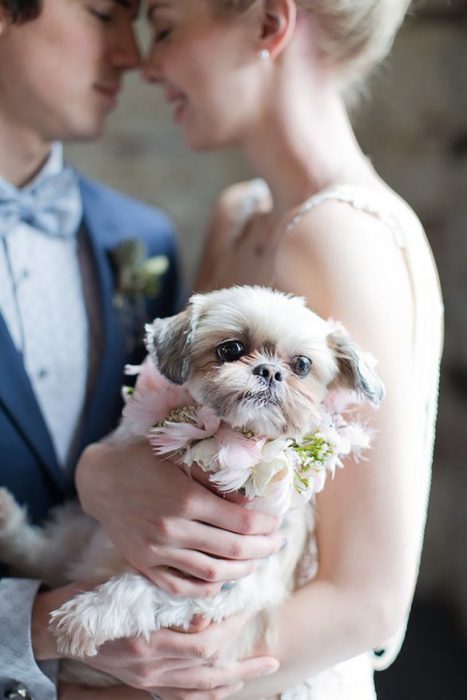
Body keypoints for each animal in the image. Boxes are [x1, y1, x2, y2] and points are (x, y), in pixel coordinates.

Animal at [0, 284, 384, 684]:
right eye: (231, 349)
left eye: (302, 365)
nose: (270, 371)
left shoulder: (217, 589)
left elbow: (136, 588)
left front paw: (85, 617)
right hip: (83, 533)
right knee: (42, 554)